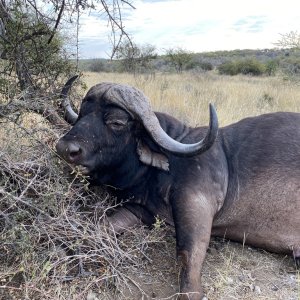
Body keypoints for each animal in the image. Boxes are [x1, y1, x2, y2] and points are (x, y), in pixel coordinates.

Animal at [56, 76, 300, 298]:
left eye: (116, 122)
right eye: (82, 113)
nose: (65, 148)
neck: (164, 166)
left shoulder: (194, 201)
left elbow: (188, 253)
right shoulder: (140, 212)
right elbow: (101, 226)